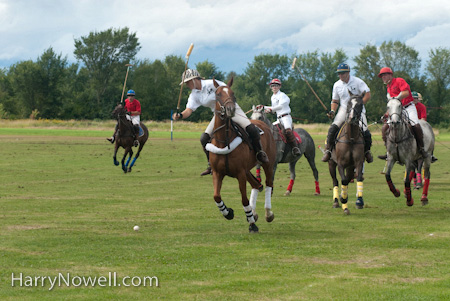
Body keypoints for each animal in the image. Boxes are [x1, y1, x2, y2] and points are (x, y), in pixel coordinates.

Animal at [207, 77, 278, 232]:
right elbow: (216, 196)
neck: (224, 140)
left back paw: (268, 213)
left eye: (233, 94)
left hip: (267, 163)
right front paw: (228, 213)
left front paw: (252, 224)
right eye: (217, 94)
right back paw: (254, 213)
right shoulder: (217, 172)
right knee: (257, 185)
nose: (230, 109)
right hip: (247, 170)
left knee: (268, 184)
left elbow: (244, 199)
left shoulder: (240, 173)